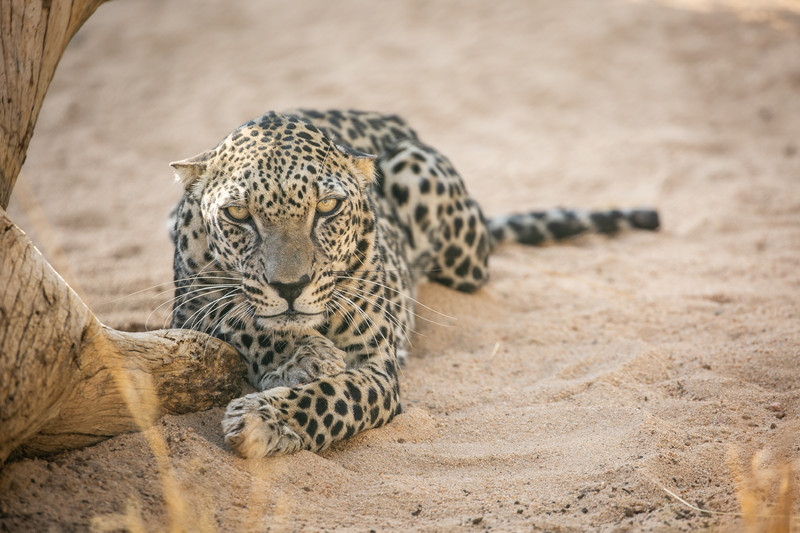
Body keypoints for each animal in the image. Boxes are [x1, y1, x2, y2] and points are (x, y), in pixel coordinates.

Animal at [167, 109, 656, 458]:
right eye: (238, 215)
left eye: (327, 207)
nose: (291, 286)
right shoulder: (188, 307)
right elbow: (241, 320)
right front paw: (305, 357)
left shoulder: (378, 368)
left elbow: (334, 397)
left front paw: (263, 420)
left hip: (441, 214)